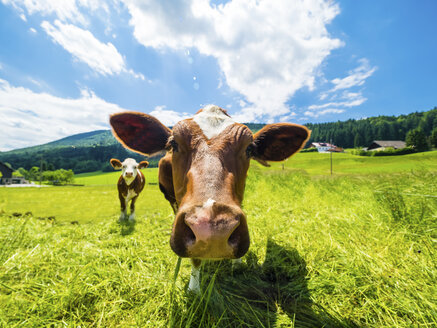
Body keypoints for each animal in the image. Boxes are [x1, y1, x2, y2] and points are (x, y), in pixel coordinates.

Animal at [111, 104, 310, 290]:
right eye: (174, 144)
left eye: (249, 149)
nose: (214, 231)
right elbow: (195, 257)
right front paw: (194, 289)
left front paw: (237, 263)